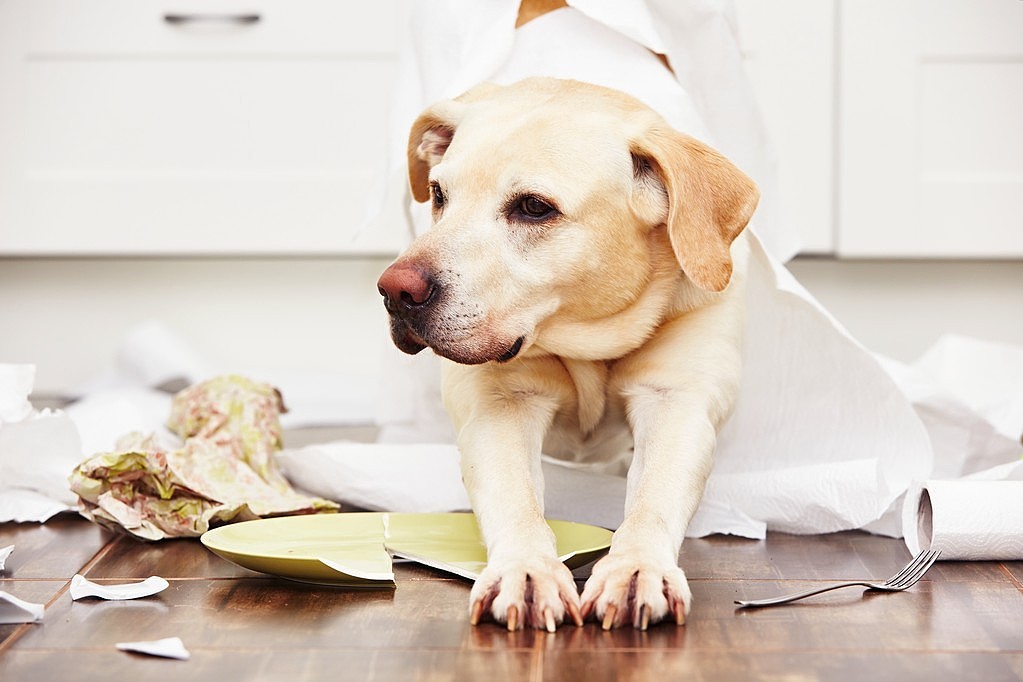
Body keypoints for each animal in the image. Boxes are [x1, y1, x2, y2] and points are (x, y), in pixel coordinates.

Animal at [378, 12, 761, 633]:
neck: (587, 335)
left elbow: (654, 495)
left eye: (534, 208)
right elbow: (514, 498)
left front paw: (637, 568)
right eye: (438, 194)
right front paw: (526, 569)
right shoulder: (501, 403)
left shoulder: (677, 400)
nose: (395, 291)